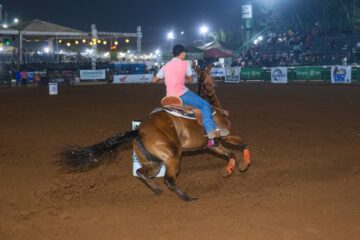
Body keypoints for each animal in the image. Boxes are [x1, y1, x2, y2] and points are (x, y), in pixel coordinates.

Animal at [59, 65, 250, 201]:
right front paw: (243, 165)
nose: (214, 83)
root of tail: (139, 131)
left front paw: (228, 171)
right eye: (211, 74)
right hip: (172, 157)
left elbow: (231, 154)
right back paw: (188, 198)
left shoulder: (213, 145)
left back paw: (157, 190)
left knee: (141, 173)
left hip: (154, 161)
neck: (212, 108)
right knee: (168, 180)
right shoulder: (225, 135)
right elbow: (243, 144)